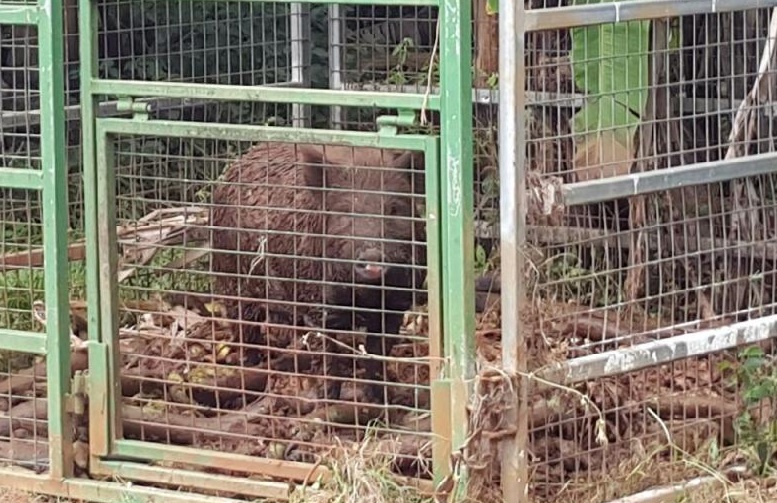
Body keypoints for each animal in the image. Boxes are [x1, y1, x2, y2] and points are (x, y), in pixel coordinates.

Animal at [208, 143, 424, 402]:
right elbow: (327, 353)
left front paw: (379, 400)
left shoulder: (395, 306)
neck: (364, 297)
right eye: (344, 210)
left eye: (393, 209)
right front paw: (326, 400)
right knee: (244, 327)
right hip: (232, 278)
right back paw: (251, 366)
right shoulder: (316, 303)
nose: (372, 256)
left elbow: (377, 354)